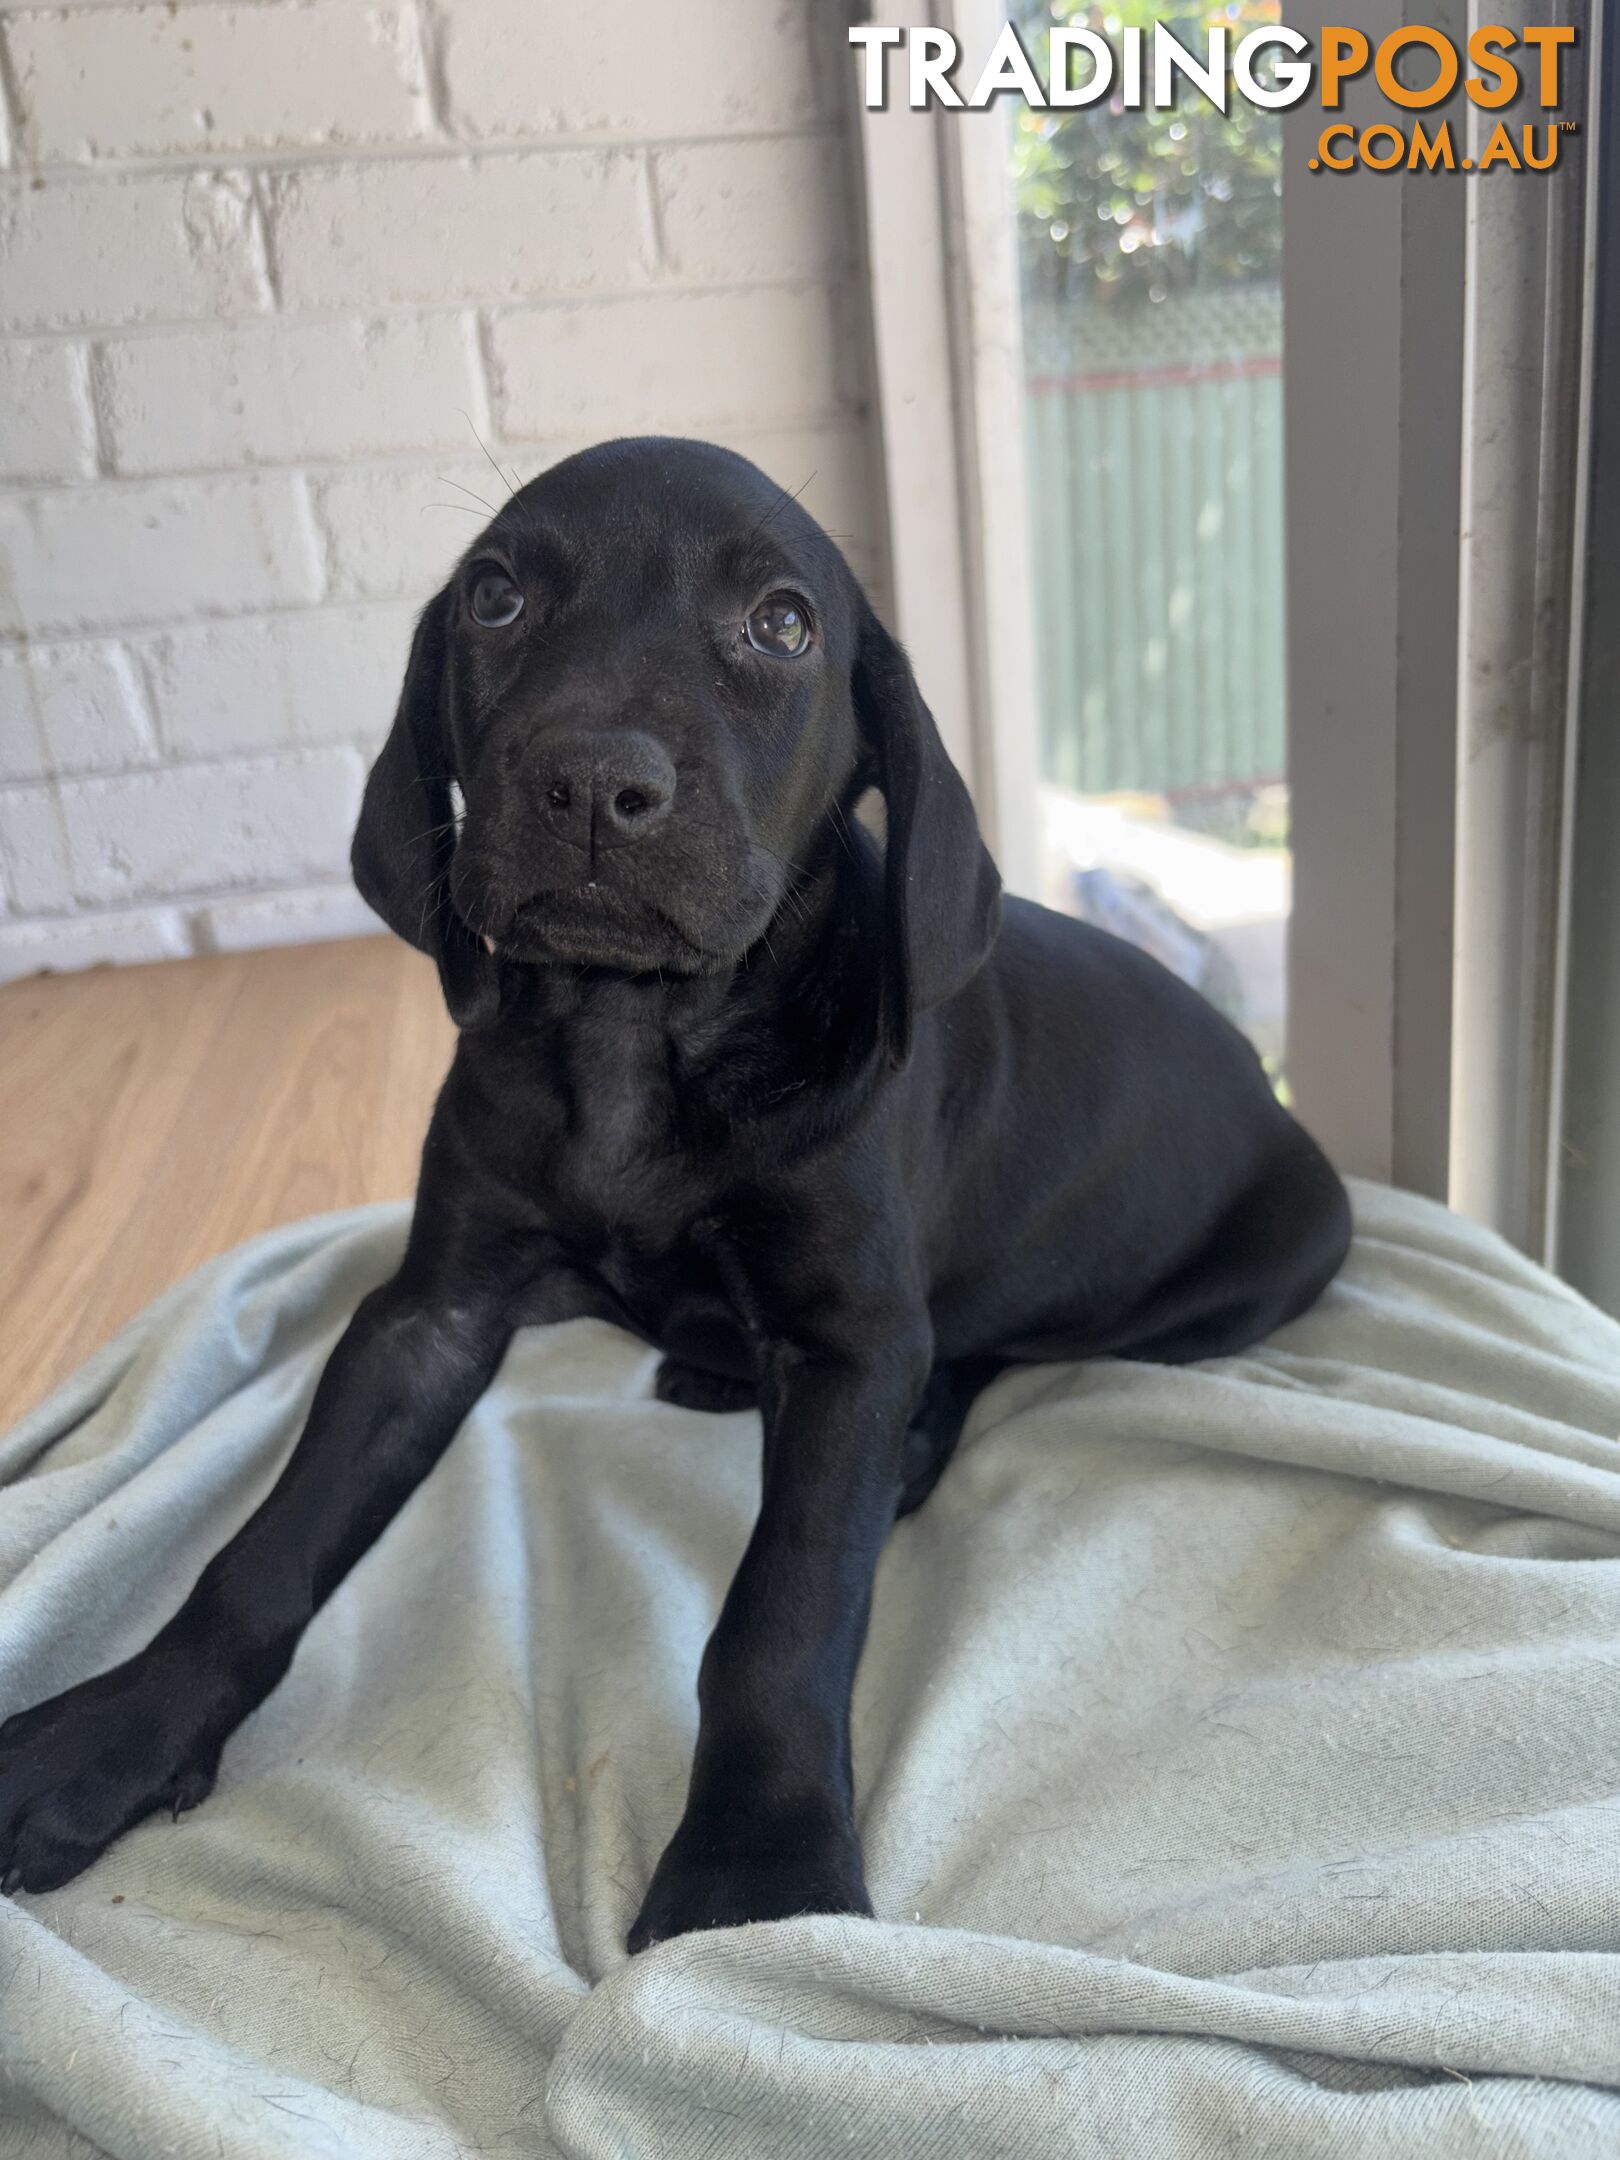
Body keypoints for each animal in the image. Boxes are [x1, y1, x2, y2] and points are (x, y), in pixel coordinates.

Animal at [0, 438, 1347, 1944]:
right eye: (495, 597)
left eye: (783, 625)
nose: (592, 783)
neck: (633, 1039)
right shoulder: (431, 1313)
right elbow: (267, 1546)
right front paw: (114, 1734)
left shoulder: (849, 1340)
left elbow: (785, 1607)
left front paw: (758, 1862)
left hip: (1225, 1289)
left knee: (984, 1348)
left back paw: (909, 1441)